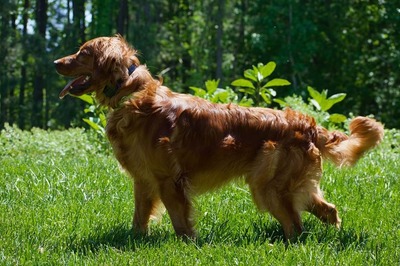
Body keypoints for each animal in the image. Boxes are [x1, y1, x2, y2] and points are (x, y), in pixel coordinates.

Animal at [54, 34, 384, 240]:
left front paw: (187, 245)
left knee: (296, 226)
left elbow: (180, 222)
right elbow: (140, 219)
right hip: (289, 185)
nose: (56, 63)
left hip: (268, 187)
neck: (132, 93)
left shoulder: (168, 180)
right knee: (327, 211)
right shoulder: (144, 180)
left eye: (83, 53)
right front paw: (136, 241)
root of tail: (309, 123)